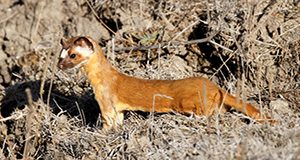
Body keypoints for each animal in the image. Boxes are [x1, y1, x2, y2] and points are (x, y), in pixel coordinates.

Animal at [56, 36, 274, 129]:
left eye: (73, 55)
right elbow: (119, 120)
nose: (59, 66)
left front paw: (101, 133)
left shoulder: (106, 101)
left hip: (188, 102)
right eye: (60, 55)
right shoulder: (118, 109)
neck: (101, 81)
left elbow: (108, 122)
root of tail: (214, 86)